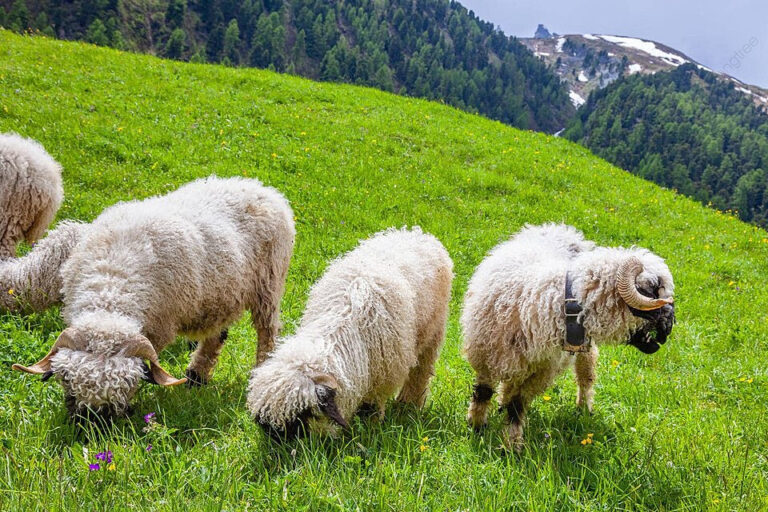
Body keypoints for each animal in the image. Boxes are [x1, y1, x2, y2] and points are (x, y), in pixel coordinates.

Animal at [246, 228, 452, 440]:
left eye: (298, 417)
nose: (277, 443)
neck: (341, 325)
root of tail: (417, 233)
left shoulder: (382, 379)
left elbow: (372, 407)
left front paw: (371, 427)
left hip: (433, 333)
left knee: (420, 373)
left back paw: (408, 406)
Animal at [462, 224, 672, 448]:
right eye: (653, 292)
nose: (667, 331)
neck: (547, 300)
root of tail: (562, 229)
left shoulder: (541, 371)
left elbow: (517, 406)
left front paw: (511, 444)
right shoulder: (485, 356)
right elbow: (483, 392)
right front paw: (476, 426)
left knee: (586, 376)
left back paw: (584, 408)